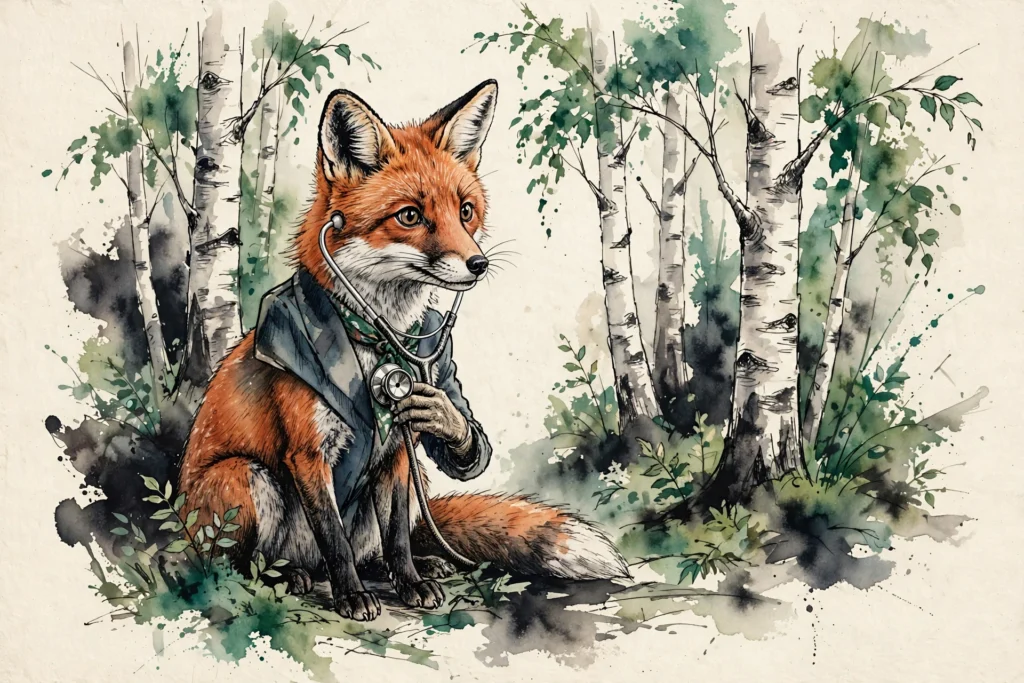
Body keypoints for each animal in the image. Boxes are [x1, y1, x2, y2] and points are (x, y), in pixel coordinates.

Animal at [177, 79, 628, 621]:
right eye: (410, 216)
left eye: (465, 211)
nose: (478, 264)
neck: (374, 338)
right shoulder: (308, 455)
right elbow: (334, 539)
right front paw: (351, 596)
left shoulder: (397, 452)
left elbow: (395, 537)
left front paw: (410, 582)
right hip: (244, 476)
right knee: (238, 565)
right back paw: (292, 577)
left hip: (413, 485)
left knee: (388, 544)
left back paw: (417, 566)